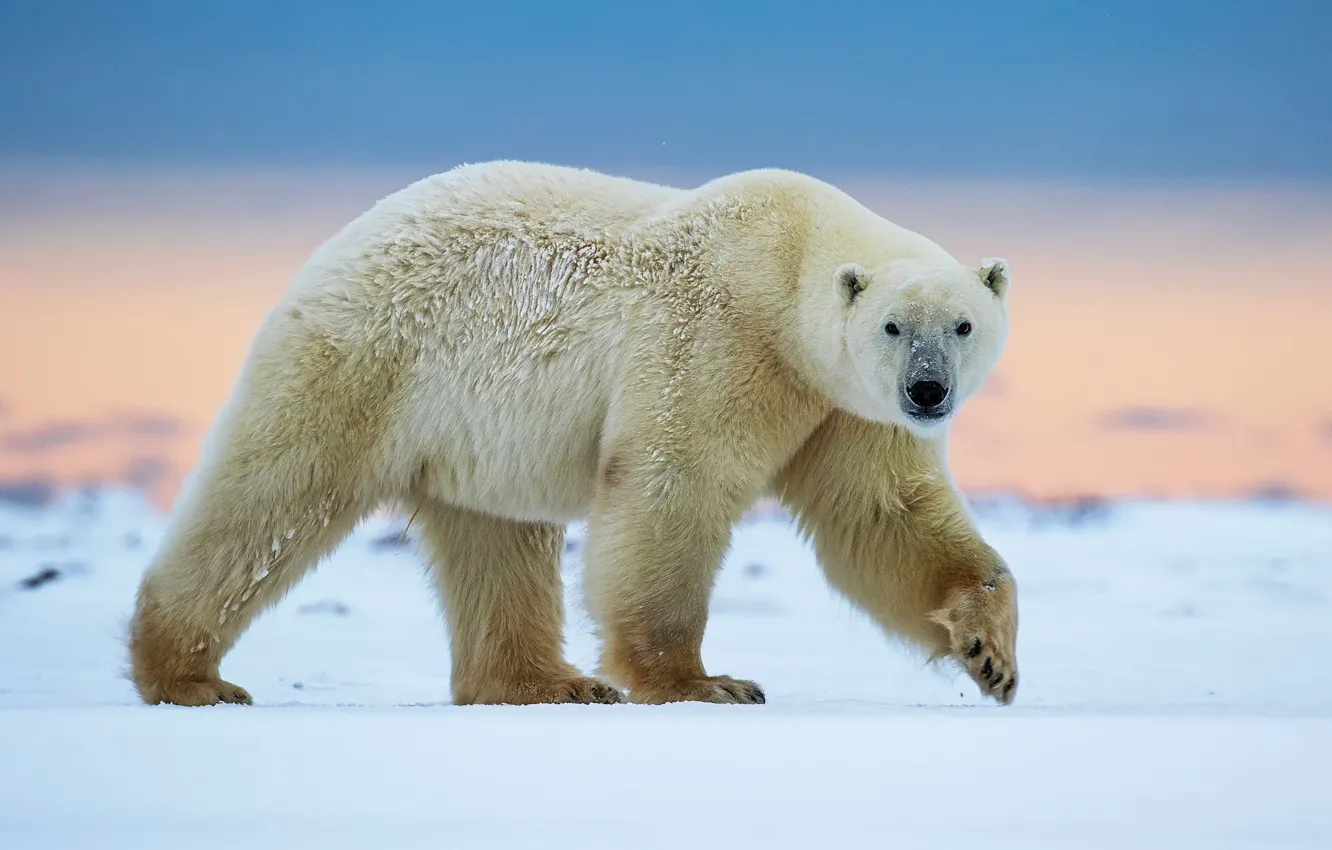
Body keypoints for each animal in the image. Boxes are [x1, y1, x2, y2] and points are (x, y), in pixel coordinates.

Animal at [127, 163, 1017, 708]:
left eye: (963, 324)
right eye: (895, 326)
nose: (928, 391)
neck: (786, 262)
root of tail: (335, 248)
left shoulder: (843, 409)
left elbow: (881, 515)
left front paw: (990, 654)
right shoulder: (719, 338)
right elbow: (673, 484)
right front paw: (706, 682)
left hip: (476, 433)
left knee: (498, 541)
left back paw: (542, 682)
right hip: (368, 361)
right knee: (272, 499)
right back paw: (189, 675)